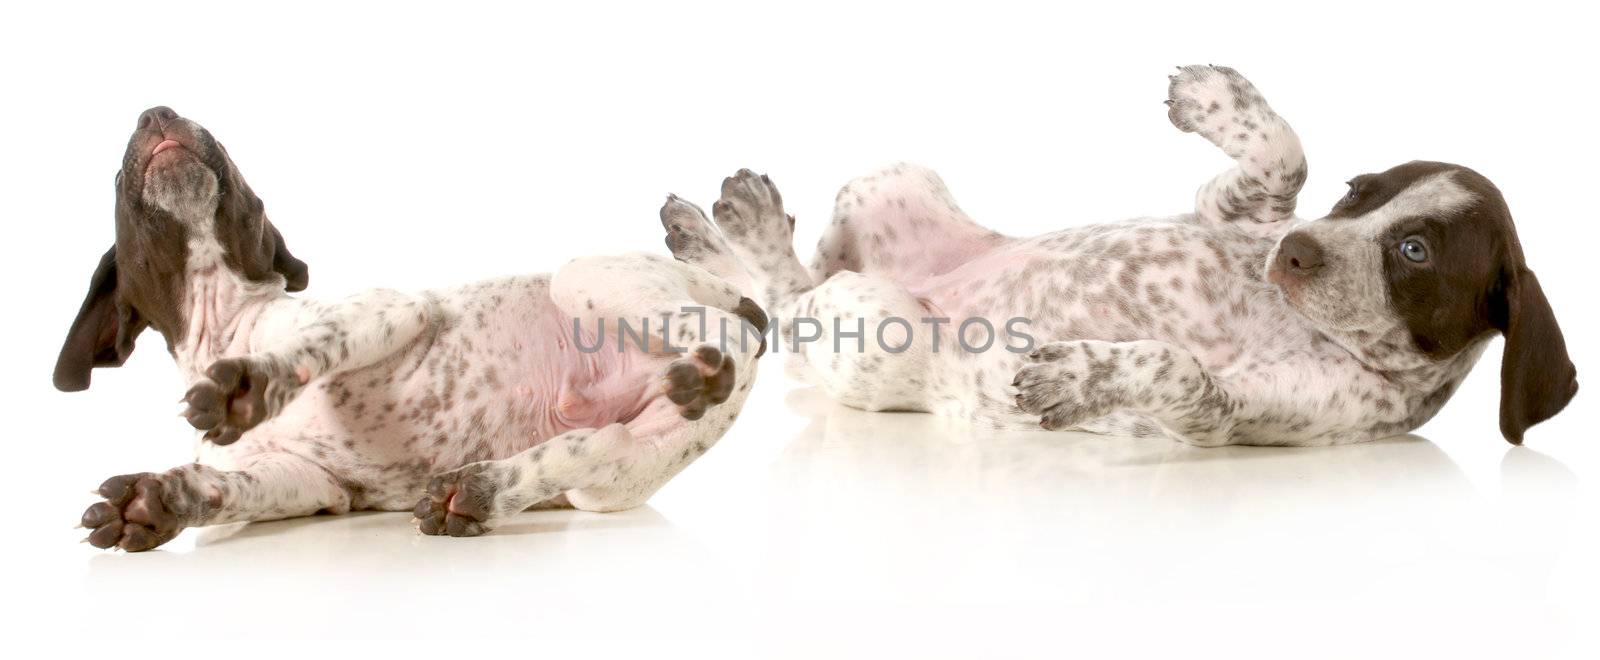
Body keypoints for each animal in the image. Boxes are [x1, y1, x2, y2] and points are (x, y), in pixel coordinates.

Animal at [60, 109, 761, 551]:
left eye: (232, 161)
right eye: (119, 179)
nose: (157, 110)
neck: (230, 320)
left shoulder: (389, 310)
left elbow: (311, 346)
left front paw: (250, 386)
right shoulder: (311, 485)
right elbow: (223, 490)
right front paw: (156, 503)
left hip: (588, 280)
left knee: (728, 323)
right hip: (619, 474)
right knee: (600, 441)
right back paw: (479, 492)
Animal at [662, 66, 1574, 445]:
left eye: (1414, 252)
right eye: (1359, 191)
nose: (1296, 249)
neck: (1298, 319)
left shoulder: (1233, 418)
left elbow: (1177, 369)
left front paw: (1083, 374)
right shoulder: (1234, 210)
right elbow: (1283, 156)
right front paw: (1218, 95)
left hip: (881, 331)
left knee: (788, 299)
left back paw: (745, 234)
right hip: (892, 179)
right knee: (789, 282)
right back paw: (710, 231)